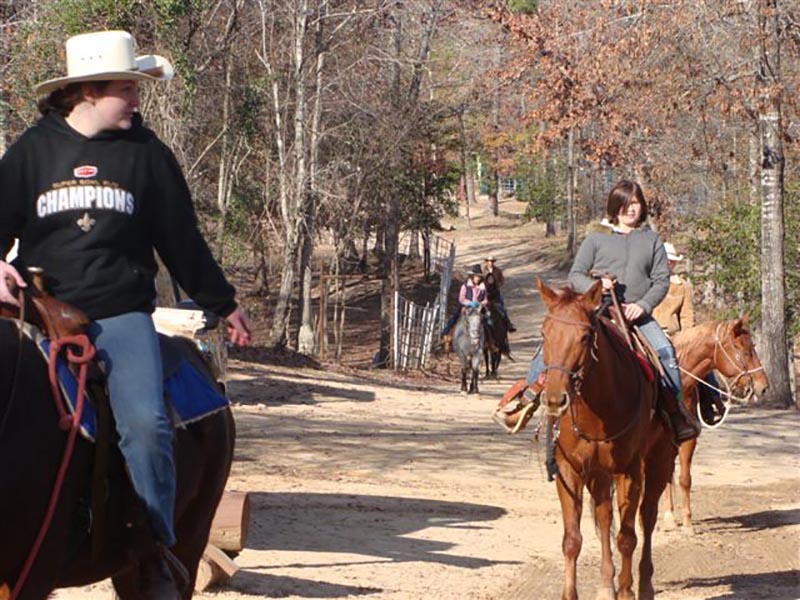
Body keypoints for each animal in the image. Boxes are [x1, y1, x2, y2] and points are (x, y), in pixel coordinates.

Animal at [536, 280, 680, 600]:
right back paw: (605, 585)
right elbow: (572, 540)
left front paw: (626, 591)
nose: (554, 399)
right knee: (603, 518)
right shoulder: (570, 469)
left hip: (658, 460)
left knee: (647, 517)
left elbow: (627, 537)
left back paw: (645, 585)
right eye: (544, 332)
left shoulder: (629, 471)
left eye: (584, 336)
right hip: (599, 474)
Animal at [660, 316, 772, 532]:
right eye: (746, 351)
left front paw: (687, 522)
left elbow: (684, 479)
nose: (763, 387)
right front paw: (668, 518)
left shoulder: (689, 438)